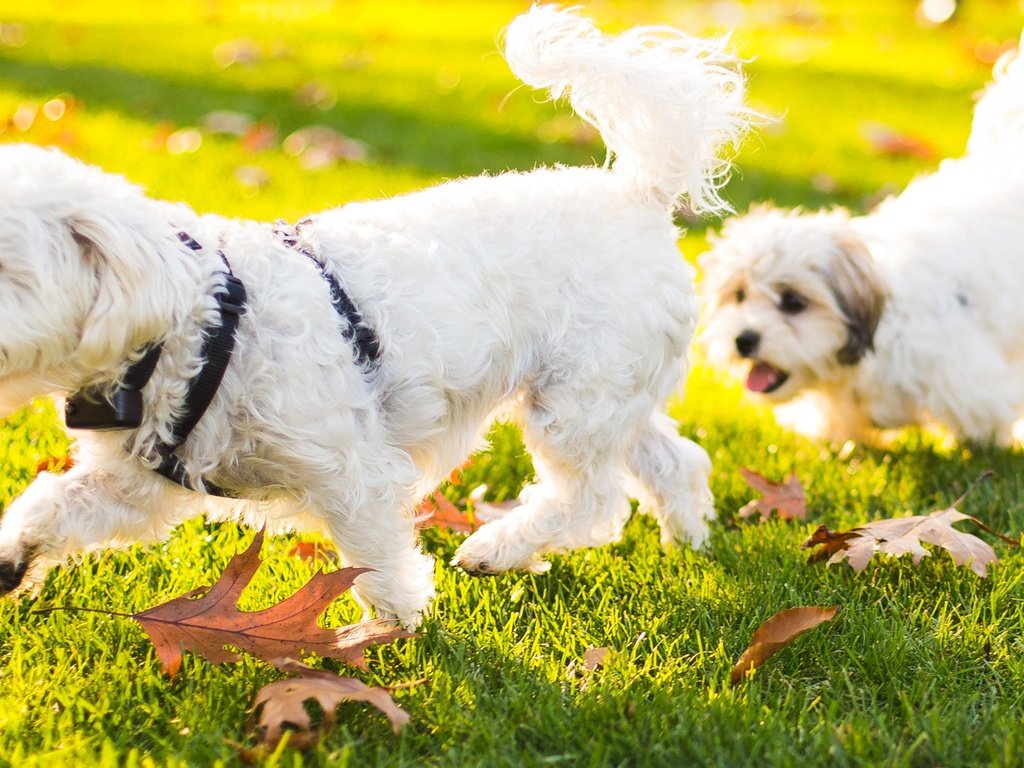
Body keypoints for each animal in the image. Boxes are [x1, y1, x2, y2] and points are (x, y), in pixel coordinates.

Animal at [0, 6, 745, 626]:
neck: (200, 325)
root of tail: (638, 194)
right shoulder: (137, 482)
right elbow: (53, 505)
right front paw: (12, 557)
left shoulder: (350, 469)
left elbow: (375, 558)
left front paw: (395, 627)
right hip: (612, 393)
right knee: (674, 460)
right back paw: (689, 539)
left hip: (576, 400)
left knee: (592, 501)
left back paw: (499, 549)